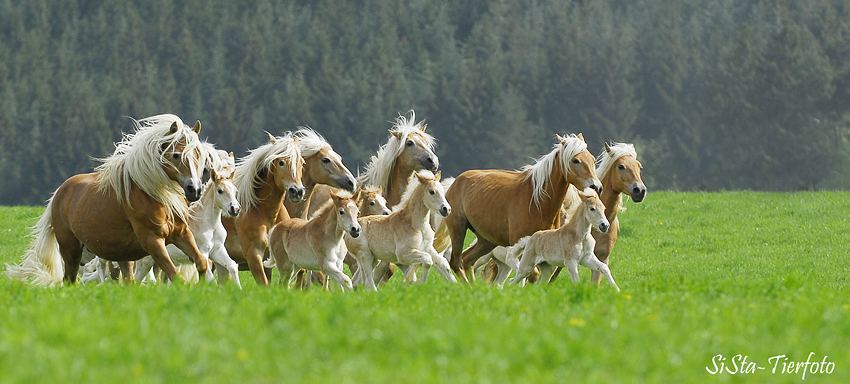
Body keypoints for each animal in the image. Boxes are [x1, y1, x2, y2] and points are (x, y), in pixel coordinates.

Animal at [6, 114, 207, 284]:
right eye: (176, 154)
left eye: (198, 154)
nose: (195, 189)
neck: (153, 194)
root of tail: (60, 192)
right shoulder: (152, 240)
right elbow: (177, 276)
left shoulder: (181, 233)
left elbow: (202, 262)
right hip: (71, 250)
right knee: (70, 280)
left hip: (122, 255)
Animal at [444, 133, 604, 282]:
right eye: (575, 160)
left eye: (592, 159)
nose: (596, 187)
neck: (538, 203)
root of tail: (457, 181)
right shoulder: (520, 246)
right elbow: (531, 274)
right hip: (458, 230)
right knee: (456, 263)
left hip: (486, 240)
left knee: (467, 260)